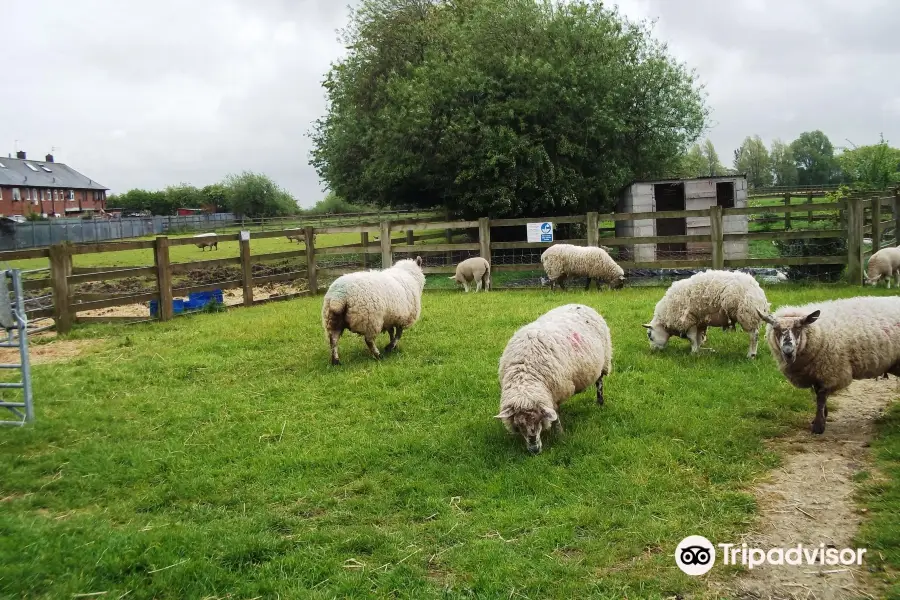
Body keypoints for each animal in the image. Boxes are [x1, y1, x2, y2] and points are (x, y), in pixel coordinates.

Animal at [496, 304, 616, 454]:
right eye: (518, 425)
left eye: (538, 420)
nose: (534, 451)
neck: (526, 375)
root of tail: (581, 304)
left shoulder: (556, 392)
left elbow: (556, 416)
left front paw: (559, 434)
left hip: (604, 361)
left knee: (599, 383)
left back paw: (600, 402)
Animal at [764, 296, 900, 434]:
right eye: (776, 329)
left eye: (798, 328)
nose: (788, 351)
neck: (818, 331)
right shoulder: (816, 373)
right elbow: (816, 395)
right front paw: (823, 416)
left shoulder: (829, 371)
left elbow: (821, 398)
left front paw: (818, 426)